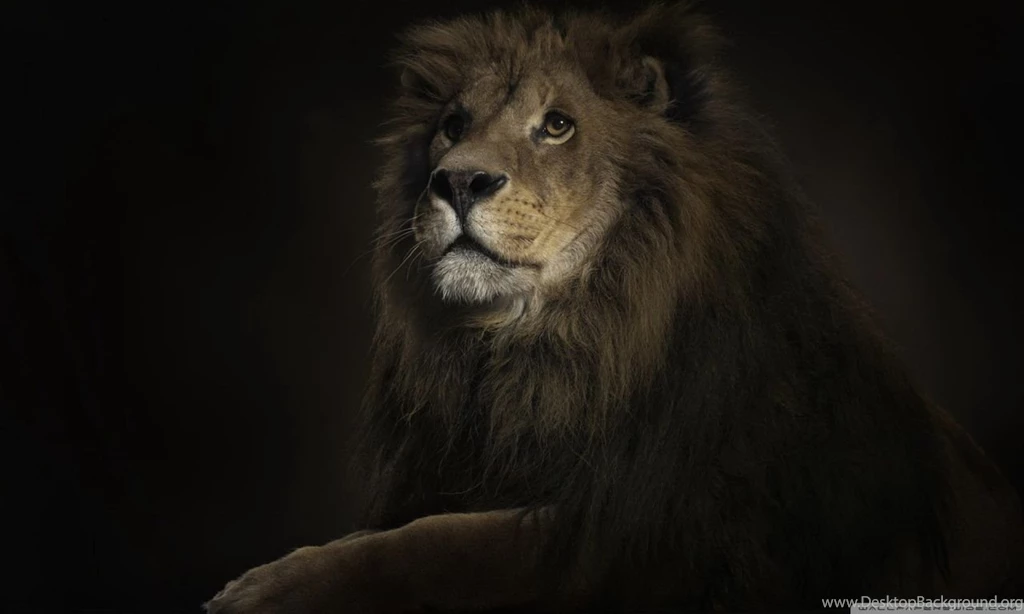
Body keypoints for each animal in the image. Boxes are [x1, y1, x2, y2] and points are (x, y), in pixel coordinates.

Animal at [207, 4, 1024, 612]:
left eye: (557, 124)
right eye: (453, 124)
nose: (457, 181)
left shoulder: (648, 531)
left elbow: (440, 543)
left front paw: (264, 591)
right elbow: (401, 531)